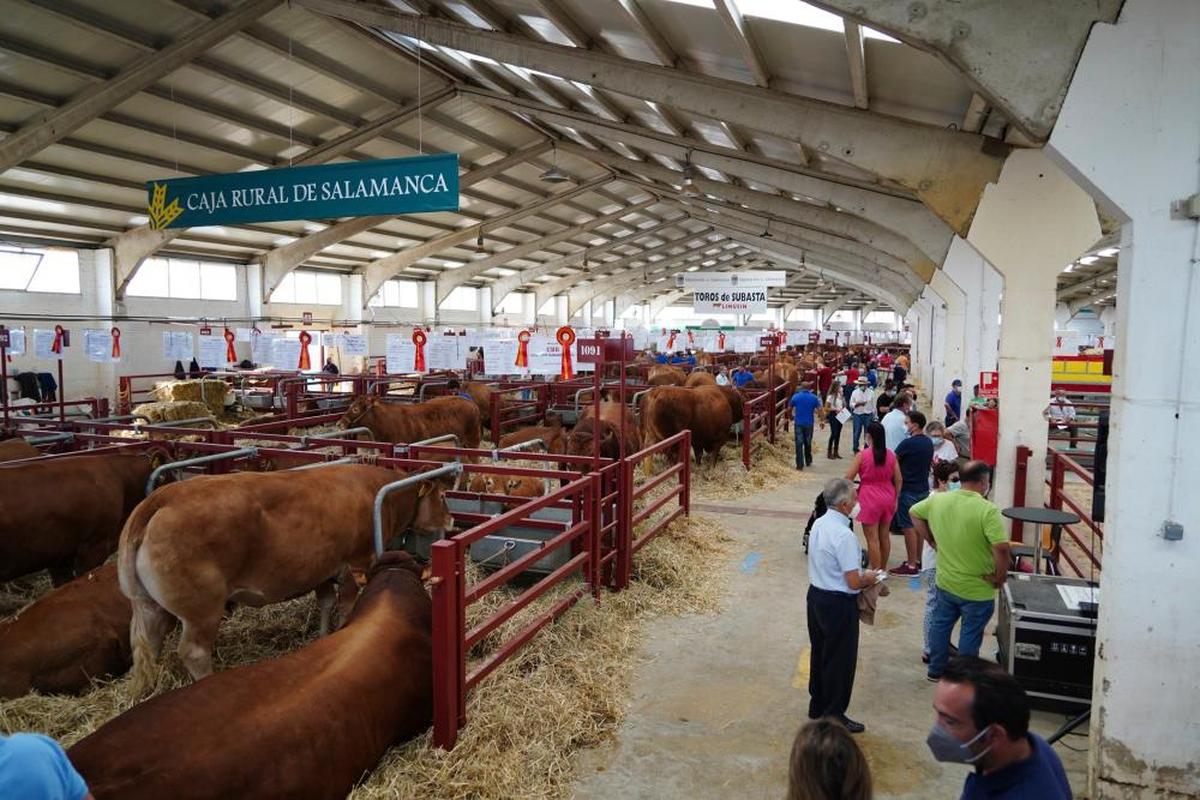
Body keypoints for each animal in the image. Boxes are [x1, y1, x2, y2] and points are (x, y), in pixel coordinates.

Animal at [118, 462, 453, 690]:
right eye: (442, 496)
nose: (451, 519)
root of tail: (161, 499)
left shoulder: (321, 570)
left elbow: (325, 603)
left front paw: (322, 635)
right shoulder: (352, 565)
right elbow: (345, 607)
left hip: (147, 605)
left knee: (149, 644)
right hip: (202, 610)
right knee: (194, 652)